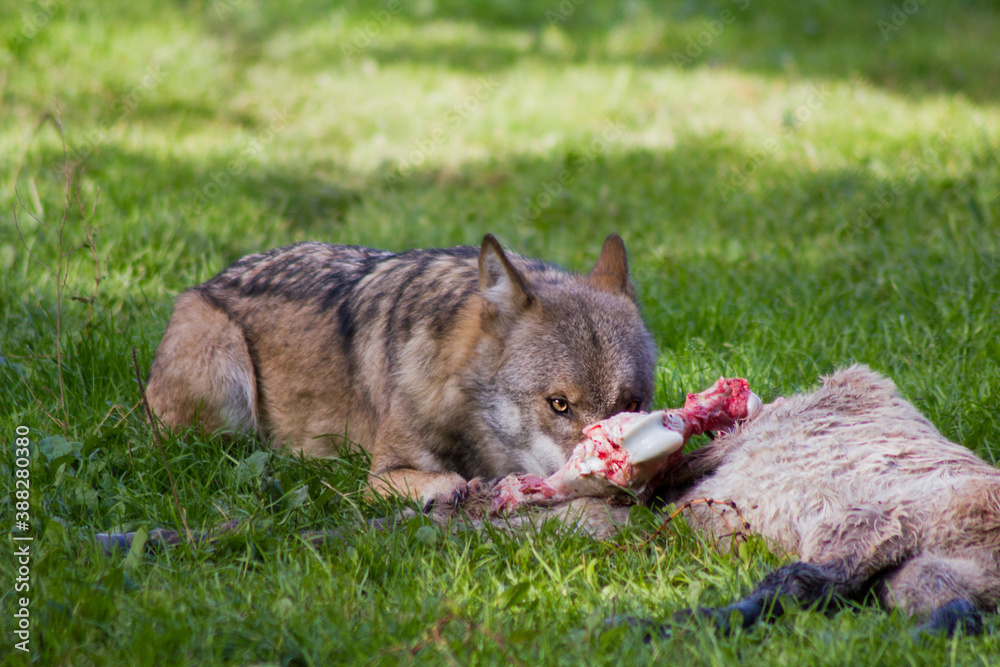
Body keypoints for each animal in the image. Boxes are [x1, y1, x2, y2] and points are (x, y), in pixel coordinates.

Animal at [145, 234, 656, 503]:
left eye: (632, 404)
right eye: (559, 404)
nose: (619, 489)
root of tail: (208, 282)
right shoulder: (383, 475)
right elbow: (453, 480)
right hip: (224, 370)